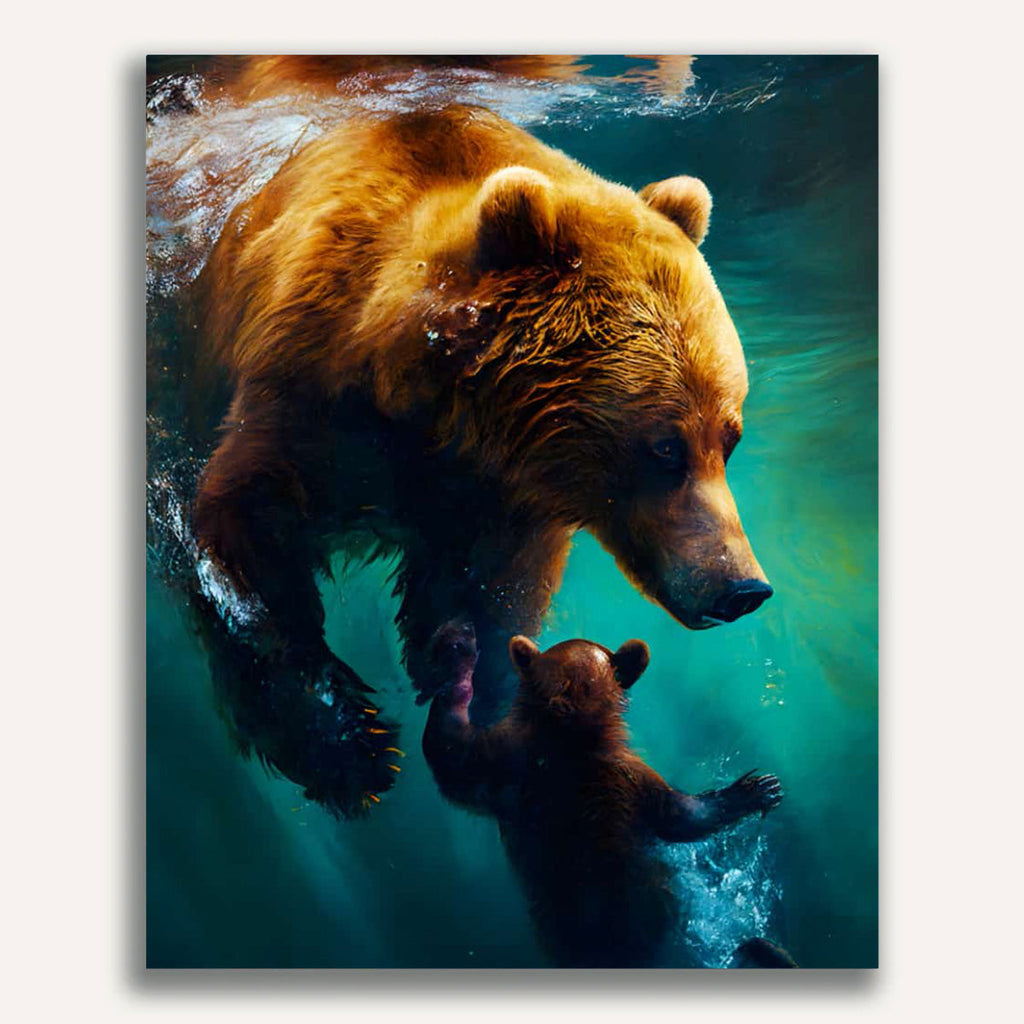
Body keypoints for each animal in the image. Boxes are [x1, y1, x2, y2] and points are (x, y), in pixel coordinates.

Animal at [184, 104, 773, 816]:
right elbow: (245, 545)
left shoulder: (499, 501)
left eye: (729, 438)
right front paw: (350, 748)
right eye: (666, 447)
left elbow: (494, 597)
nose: (742, 588)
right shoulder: (310, 404)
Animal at [421, 622, 784, 967]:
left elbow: (449, 752)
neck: (568, 730)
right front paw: (758, 789)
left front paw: (456, 653)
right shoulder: (630, 776)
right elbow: (681, 816)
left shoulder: (504, 762)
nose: (458, 642)